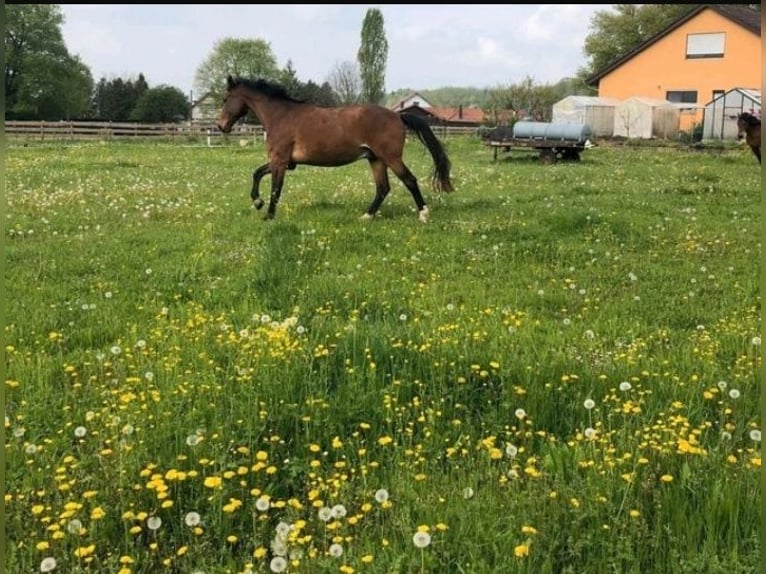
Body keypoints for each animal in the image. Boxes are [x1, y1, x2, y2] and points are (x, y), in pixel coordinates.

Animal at [214, 75, 456, 223]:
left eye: (225, 98)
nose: (220, 125)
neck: (281, 116)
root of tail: (397, 115)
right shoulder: (287, 163)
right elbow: (256, 174)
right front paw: (257, 202)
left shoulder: (280, 161)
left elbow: (275, 188)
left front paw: (268, 215)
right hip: (375, 159)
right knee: (383, 188)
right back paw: (366, 216)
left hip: (391, 158)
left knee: (409, 180)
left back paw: (423, 214)